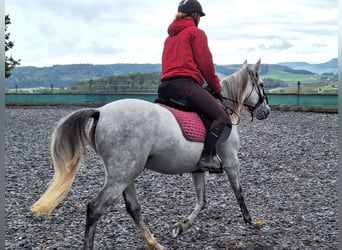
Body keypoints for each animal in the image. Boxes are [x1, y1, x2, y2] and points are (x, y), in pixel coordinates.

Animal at [31, 59, 270, 249]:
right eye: (261, 85)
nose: (266, 112)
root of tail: (100, 111)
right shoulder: (231, 161)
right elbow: (238, 192)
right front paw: (251, 221)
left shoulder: (198, 168)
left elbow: (201, 201)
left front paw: (180, 228)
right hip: (122, 175)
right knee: (95, 209)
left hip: (126, 173)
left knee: (133, 208)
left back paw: (155, 243)